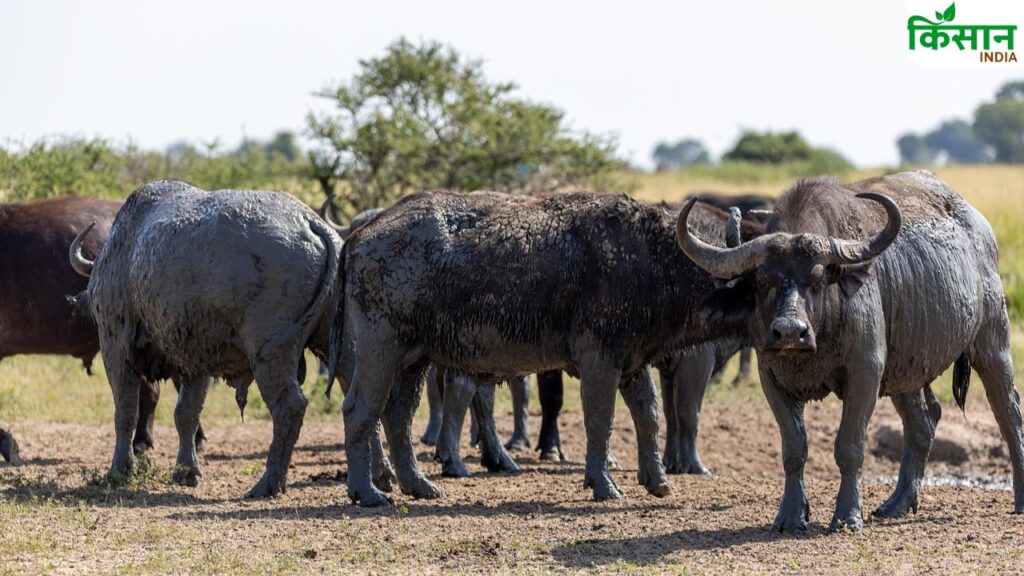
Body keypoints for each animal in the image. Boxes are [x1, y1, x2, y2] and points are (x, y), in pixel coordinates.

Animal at [69, 180, 342, 497]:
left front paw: (120, 469)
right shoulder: (196, 361)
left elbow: (126, 411)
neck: (126, 250)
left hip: (271, 353)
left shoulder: (115, 347)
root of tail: (310, 222)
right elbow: (186, 415)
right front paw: (186, 471)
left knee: (290, 405)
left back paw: (268, 483)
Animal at [328, 190, 752, 506]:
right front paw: (603, 484)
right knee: (360, 409)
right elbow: (600, 419)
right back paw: (367, 492)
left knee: (398, 415)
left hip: (413, 358)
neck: (651, 260)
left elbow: (648, 415)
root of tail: (361, 234)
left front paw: (656, 479)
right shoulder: (600, 361)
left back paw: (419, 485)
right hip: (381, 346)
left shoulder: (632, 361)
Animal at [677, 170, 1024, 532]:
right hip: (906, 370)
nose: (790, 331)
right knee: (923, 422)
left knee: (1008, 411)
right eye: (763, 282)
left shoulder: (865, 371)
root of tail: (980, 227)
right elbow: (794, 448)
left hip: (992, 343)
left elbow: (849, 446)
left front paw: (847, 515)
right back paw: (898, 503)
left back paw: (1019, 498)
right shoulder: (771, 377)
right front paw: (790, 515)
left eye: (816, 280)